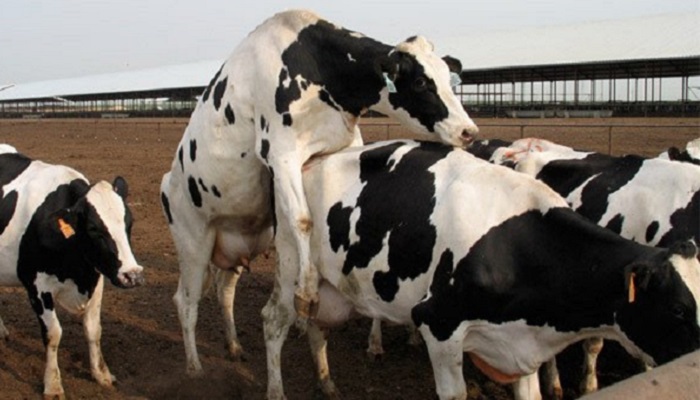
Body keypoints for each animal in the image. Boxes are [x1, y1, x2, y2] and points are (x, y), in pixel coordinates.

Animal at [0, 145, 145, 399]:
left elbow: (93, 329)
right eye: (94, 228)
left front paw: (101, 374)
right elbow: (53, 334)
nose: (133, 275)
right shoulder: (37, 287)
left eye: (129, 222)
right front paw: (53, 385)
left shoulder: (96, 278)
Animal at [159, 8, 478, 375]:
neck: (316, 66)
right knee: (185, 301)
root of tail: (167, 181)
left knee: (225, 291)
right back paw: (194, 366)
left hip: (235, 240)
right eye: (422, 82)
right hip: (193, 244)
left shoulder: (342, 144)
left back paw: (234, 346)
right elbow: (302, 220)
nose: (468, 131)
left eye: (451, 81)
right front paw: (306, 295)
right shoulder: (280, 152)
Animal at [260, 139, 700, 400]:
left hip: (327, 285)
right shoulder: (438, 323)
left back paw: (327, 382)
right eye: (678, 308)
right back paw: (277, 391)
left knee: (316, 324)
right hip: (290, 267)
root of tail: (313, 159)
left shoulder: (520, 345)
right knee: (273, 321)